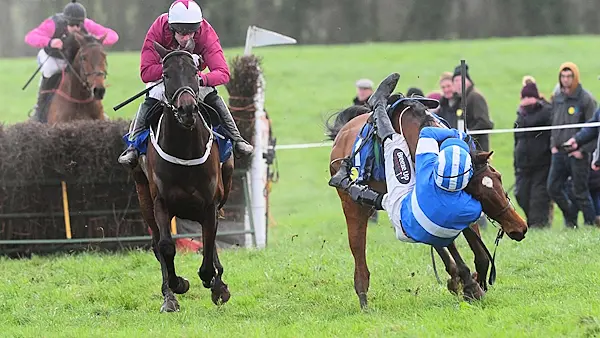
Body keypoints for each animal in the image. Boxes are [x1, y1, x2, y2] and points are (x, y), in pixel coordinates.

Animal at [326, 88, 528, 308]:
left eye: (498, 177)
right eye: (479, 194)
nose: (519, 228)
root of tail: (342, 134)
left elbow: (479, 254)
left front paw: (473, 280)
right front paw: (470, 285)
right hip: (354, 207)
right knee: (358, 248)